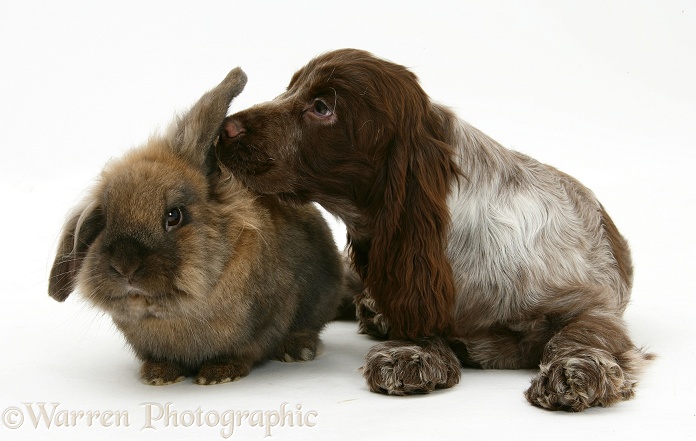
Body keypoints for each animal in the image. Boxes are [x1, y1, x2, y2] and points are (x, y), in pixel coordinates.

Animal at [48, 66, 354, 384]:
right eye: (106, 220)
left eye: (174, 215)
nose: (125, 267)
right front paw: (159, 375)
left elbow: (245, 351)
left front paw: (218, 374)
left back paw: (298, 350)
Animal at [215, 49, 648, 410]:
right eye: (289, 90)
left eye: (321, 107)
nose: (224, 128)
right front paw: (412, 352)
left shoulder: (592, 304)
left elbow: (580, 334)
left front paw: (575, 373)